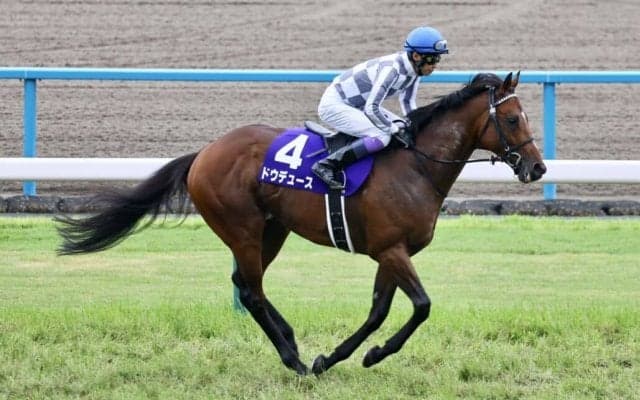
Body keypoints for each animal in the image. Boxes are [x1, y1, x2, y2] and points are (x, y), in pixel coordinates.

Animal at [57, 72, 546, 375]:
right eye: (511, 118)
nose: (537, 168)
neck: (416, 167)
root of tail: (204, 153)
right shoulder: (391, 249)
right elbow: (421, 305)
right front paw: (357, 357)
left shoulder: (391, 253)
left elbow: (378, 312)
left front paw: (346, 357)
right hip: (243, 228)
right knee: (251, 291)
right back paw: (292, 360)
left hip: (273, 229)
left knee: (244, 283)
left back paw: (292, 343)